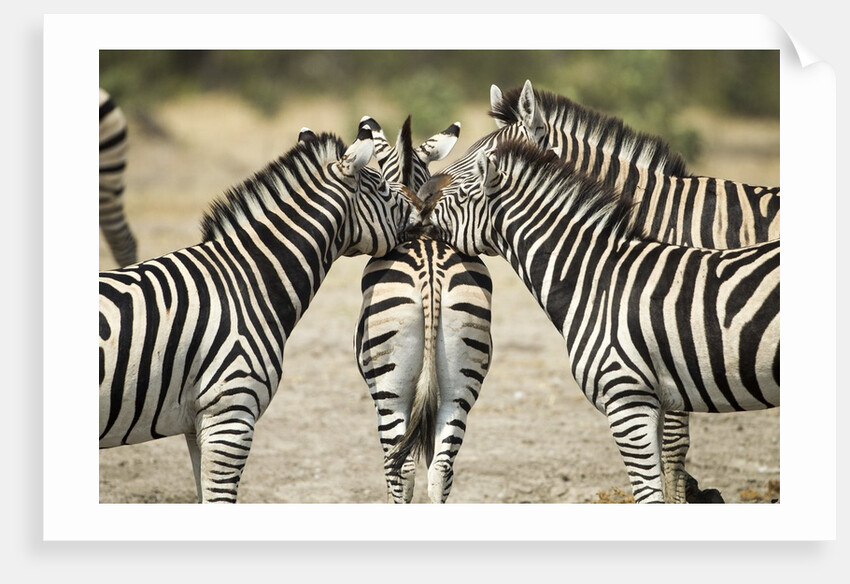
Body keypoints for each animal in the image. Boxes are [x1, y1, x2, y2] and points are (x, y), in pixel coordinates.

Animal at [425, 140, 779, 503]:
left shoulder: (627, 398)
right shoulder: (656, 399)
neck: (596, 279)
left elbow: (650, 492)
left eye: (461, 193)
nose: (419, 212)